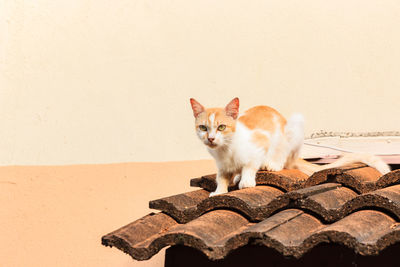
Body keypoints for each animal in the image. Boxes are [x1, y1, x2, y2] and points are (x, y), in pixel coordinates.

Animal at [191, 97, 390, 197]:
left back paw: (271, 165)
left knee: (282, 156)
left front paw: (246, 180)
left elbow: (251, 163)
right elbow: (221, 177)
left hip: (293, 126)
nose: (211, 138)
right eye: (203, 128)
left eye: (221, 127)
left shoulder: (262, 141)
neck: (226, 150)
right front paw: (219, 190)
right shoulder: (222, 166)